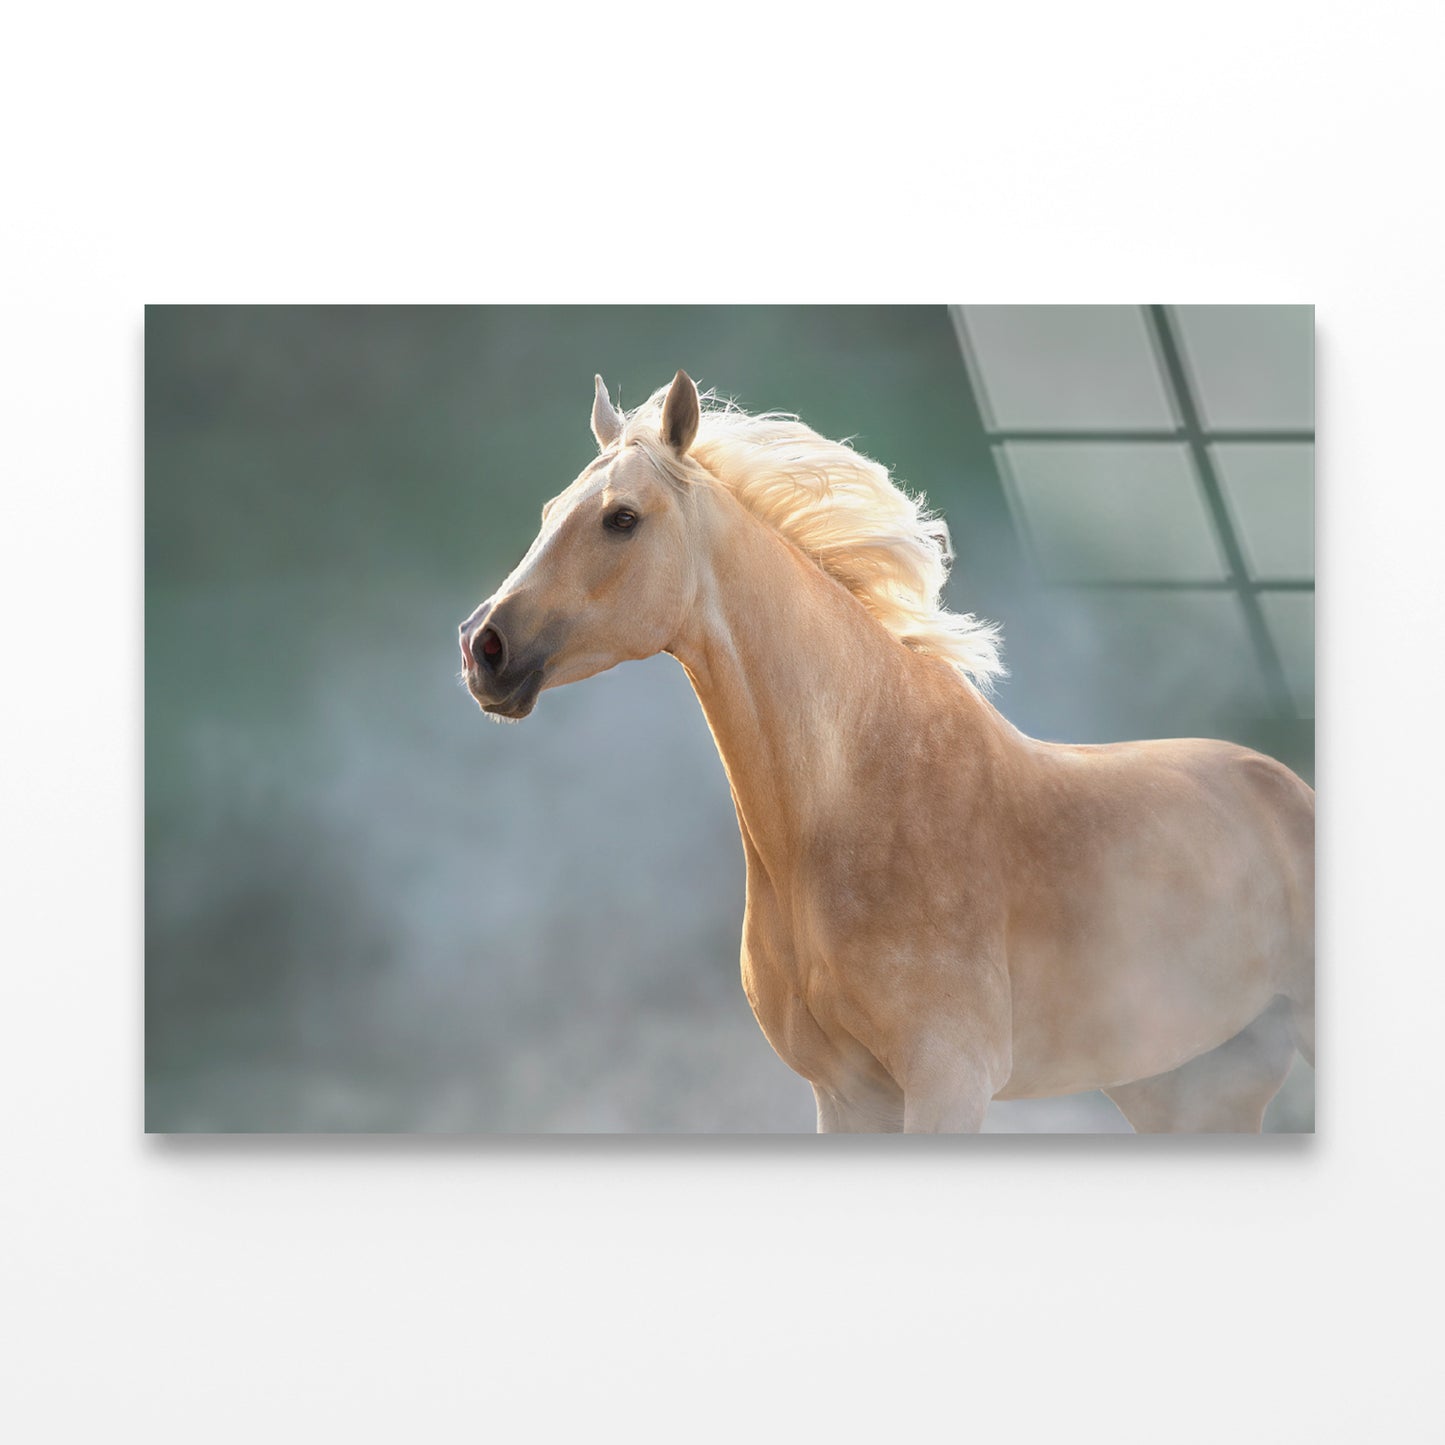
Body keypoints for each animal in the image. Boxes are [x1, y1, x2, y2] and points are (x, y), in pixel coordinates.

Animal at [458, 370, 1315, 1133]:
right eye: (549, 511)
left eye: (621, 518)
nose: (482, 647)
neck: (854, 799)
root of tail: (1286, 789)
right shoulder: (845, 1093)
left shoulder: (947, 1081)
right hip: (1187, 1088)